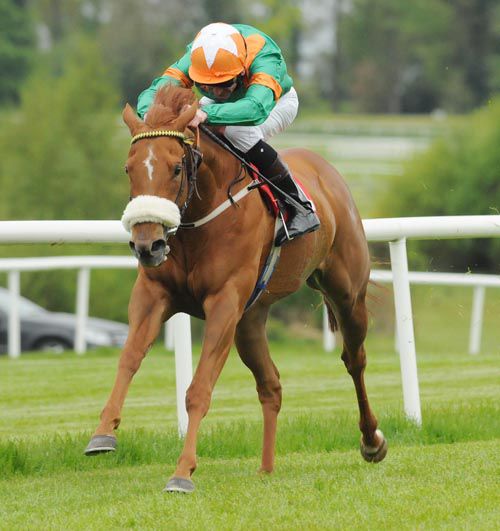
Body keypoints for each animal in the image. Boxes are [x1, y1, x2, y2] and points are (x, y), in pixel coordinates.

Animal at [85, 85, 387, 493]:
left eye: (176, 168)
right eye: (128, 168)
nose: (147, 245)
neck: (199, 220)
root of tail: (326, 170)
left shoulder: (224, 303)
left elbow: (198, 390)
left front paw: (183, 472)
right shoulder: (154, 294)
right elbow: (129, 359)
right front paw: (103, 433)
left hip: (347, 293)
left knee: (355, 360)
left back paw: (371, 441)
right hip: (250, 320)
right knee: (271, 385)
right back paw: (266, 467)